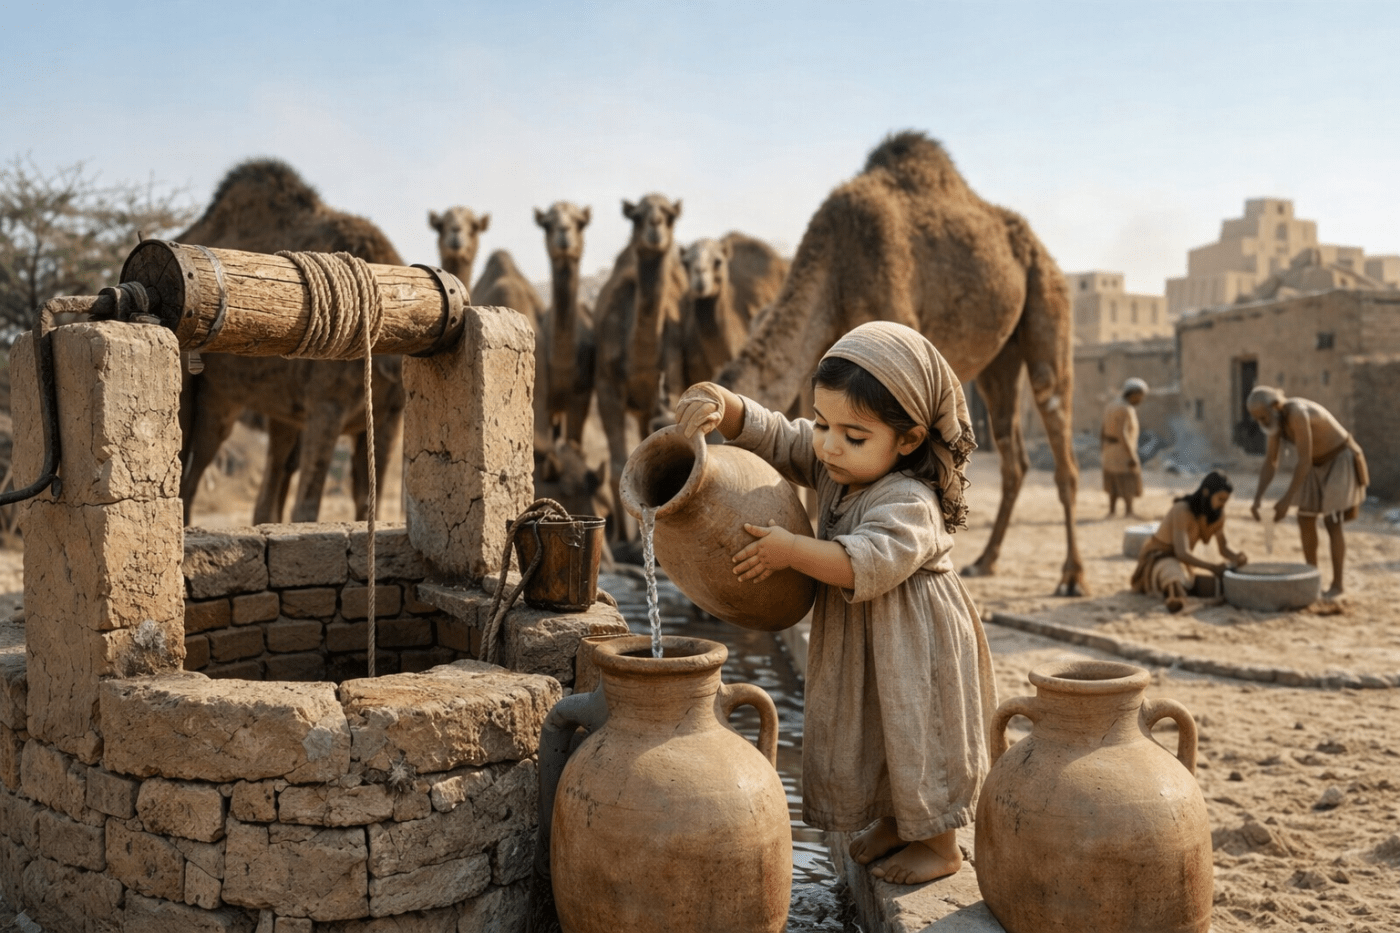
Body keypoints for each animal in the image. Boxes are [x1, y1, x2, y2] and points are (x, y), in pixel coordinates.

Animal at [593, 194, 688, 542]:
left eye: (671, 215)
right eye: (636, 216)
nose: (655, 228)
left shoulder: (672, 375)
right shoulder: (606, 386)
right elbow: (618, 464)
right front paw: (624, 540)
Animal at [717, 131, 1087, 595]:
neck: (836, 267)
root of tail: (1040, 249)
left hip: (1048, 306)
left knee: (1059, 435)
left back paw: (1072, 577)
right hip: (999, 360)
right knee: (1013, 455)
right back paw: (985, 560)